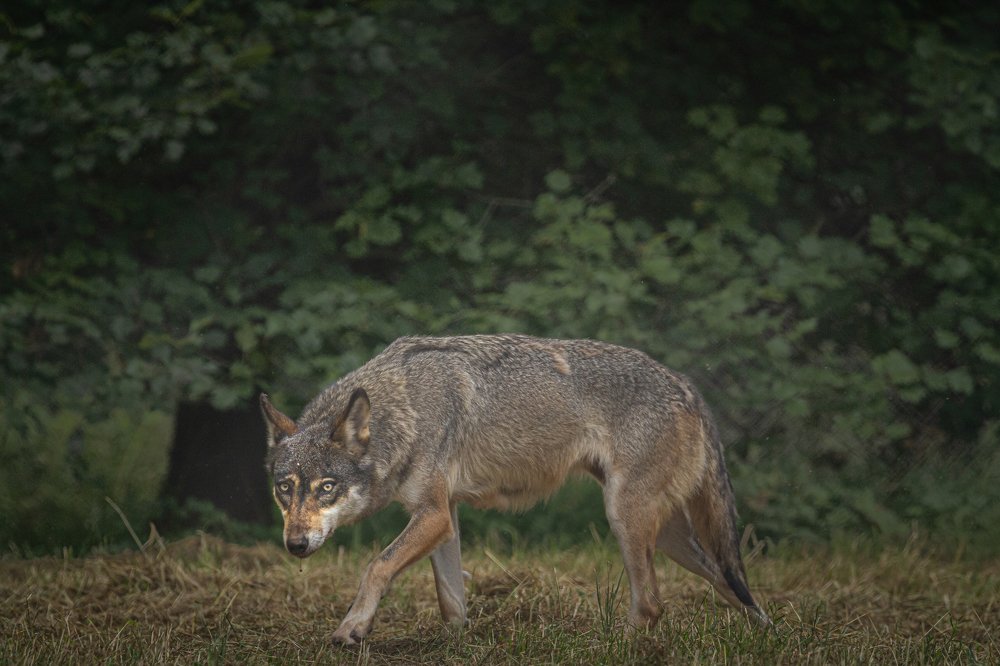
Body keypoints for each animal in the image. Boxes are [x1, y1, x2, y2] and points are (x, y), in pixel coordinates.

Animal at [260, 334, 769, 645]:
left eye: (327, 487)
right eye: (286, 488)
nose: (295, 544)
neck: (404, 409)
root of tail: (686, 384)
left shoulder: (433, 515)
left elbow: (376, 566)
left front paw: (352, 628)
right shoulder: (444, 517)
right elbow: (450, 600)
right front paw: (456, 642)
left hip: (625, 518)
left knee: (652, 605)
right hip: (669, 537)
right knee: (733, 586)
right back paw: (767, 634)